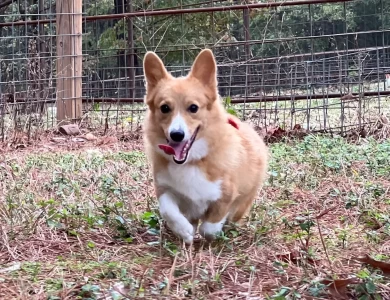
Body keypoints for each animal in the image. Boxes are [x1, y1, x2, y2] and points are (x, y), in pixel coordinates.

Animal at [143, 47, 268, 244]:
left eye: (193, 108)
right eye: (164, 108)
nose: (177, 135)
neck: (192, 161)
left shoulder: (225, 194)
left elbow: (210, 225)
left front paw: (211, 233)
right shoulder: (164, 188)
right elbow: (168, 210)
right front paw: (184, 230)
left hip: (246, 200)